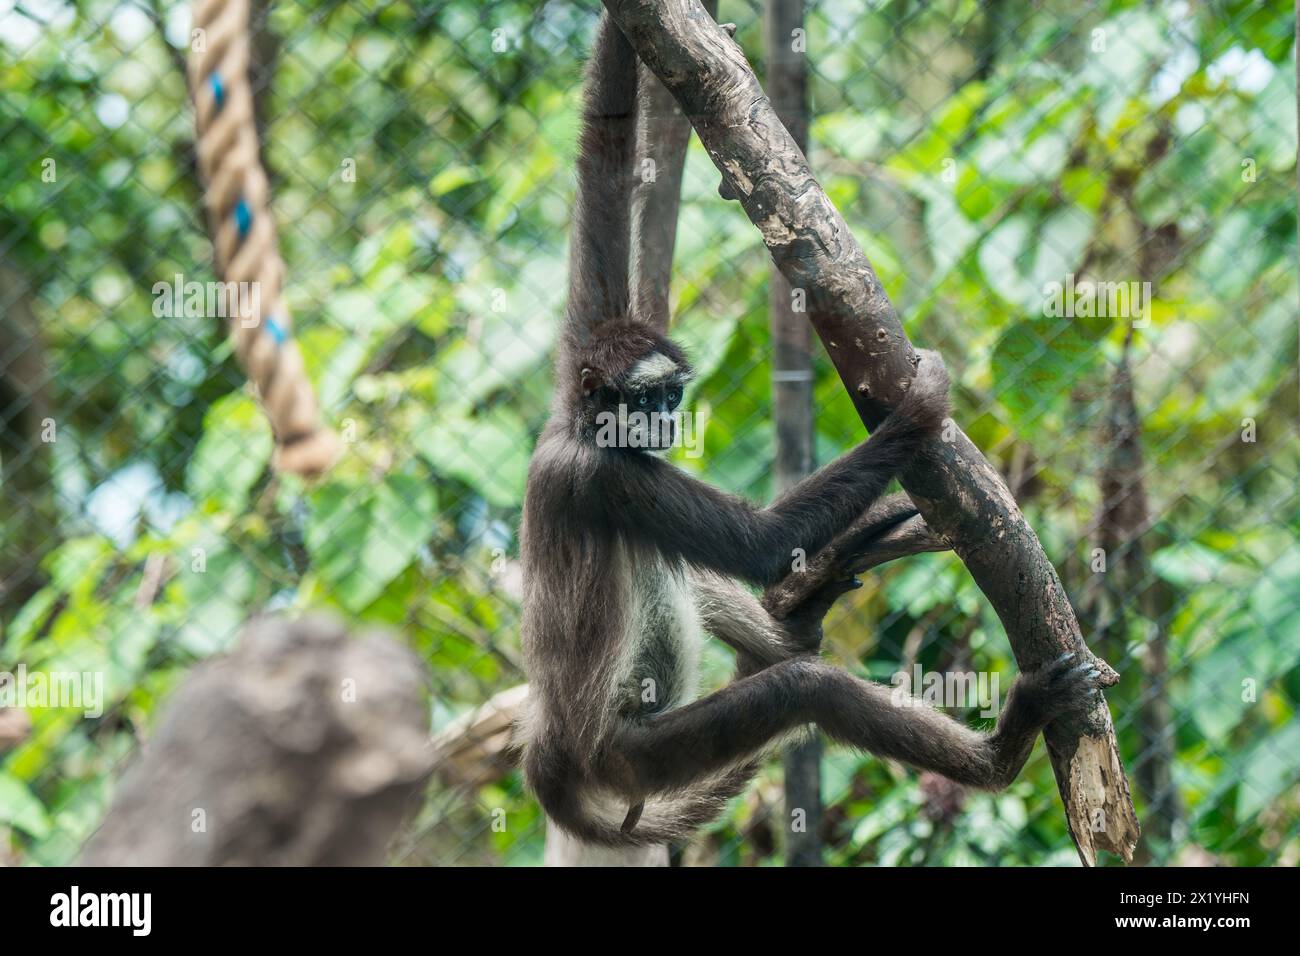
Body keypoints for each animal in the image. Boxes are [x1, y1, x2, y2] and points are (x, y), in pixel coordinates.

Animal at [512, 14, 1102, 848]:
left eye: (671, 397)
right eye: (646, 402)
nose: (663, 424)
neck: (582, 431)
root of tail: (556, 757)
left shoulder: (578, 367)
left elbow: (605, 160)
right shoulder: (607, 475)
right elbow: (758, 541)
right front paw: (917, 413)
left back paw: (804, 614)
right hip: (635, 755)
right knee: (802, 687)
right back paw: (999, 753)